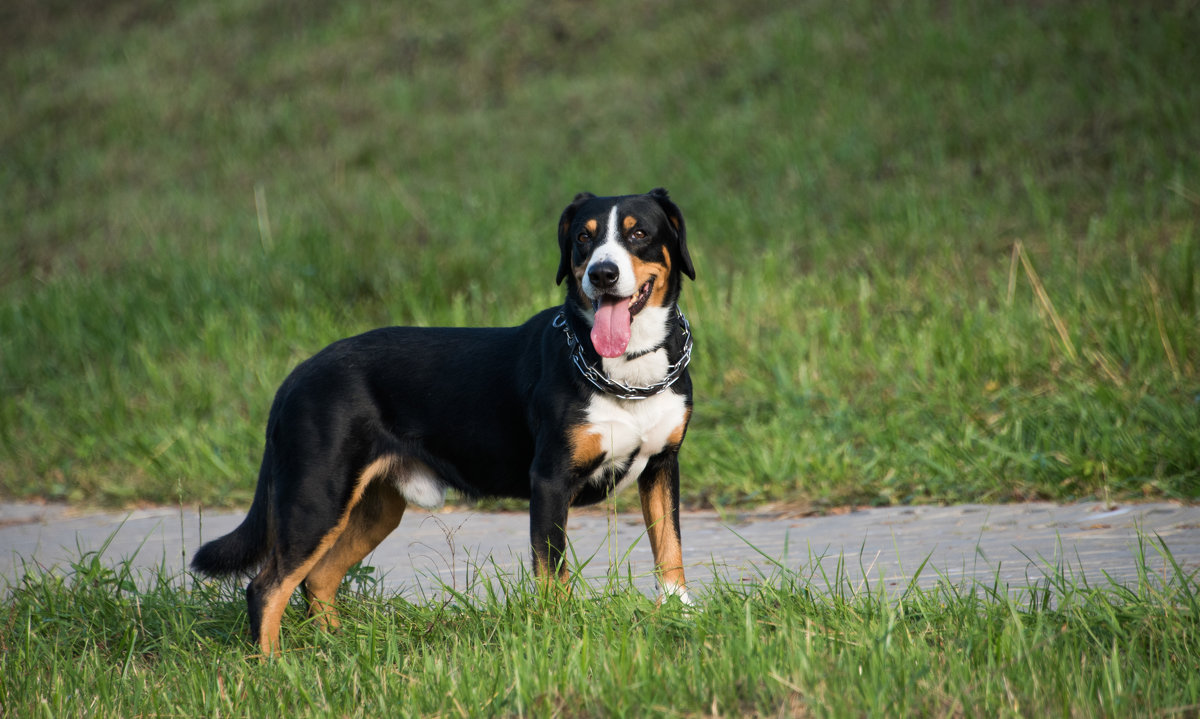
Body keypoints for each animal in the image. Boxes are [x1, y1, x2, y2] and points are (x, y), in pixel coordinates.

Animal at [192, 188, 700, 657]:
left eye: (639, 233)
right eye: (583, 238)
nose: (602, 273)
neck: (628, 373)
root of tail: (296, 375)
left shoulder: (663, 466)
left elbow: (670, 548)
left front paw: (679, 614)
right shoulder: (551, 481)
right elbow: (553, 576)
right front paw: (560, 636)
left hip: (373, 509)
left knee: (317, 578)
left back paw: (335, 648)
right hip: (317, 498)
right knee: (266, 587)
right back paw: (274, 666)